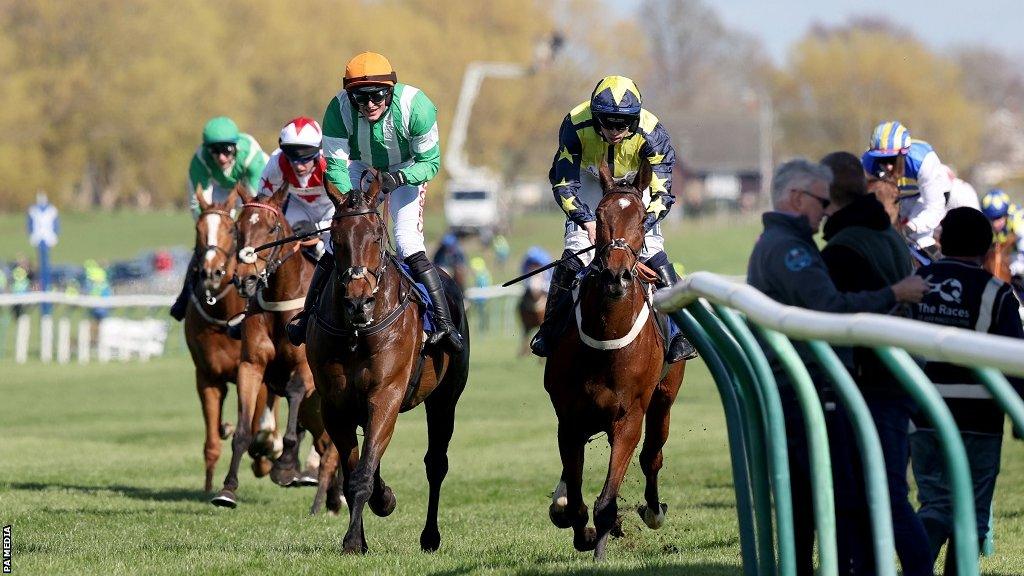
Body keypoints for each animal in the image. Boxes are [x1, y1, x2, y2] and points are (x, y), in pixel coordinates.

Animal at [184, 182, 280, 487]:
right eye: (198, 229)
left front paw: (265, 453)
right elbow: (212, 442)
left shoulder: (255, 370)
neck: (223, 316)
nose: (212, 272)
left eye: (230, 230)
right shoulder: (207, 377)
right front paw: (208, 487)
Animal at [210, 181, 339, 508]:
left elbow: (293, 395)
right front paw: (227, 489)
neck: (282, 298)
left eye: (271, 229)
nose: (245, 280)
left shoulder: (305, 370)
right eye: (238, 229)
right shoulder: (251, 365)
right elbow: (243, 430)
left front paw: (286, 466)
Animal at [305, 174, 468, 553]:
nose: (358, 303)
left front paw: (354, 538)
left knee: (436, 463)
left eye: (377, 236)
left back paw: (430, 536)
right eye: (335, 239)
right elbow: (355, 469)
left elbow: (363, 473)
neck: (356, 333)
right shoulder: (335, 404)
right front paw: (366, 525)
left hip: (445, 399)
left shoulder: (386, 395)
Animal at [544, 158, 688, 557]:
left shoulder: (629, 417)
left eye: (640, 218)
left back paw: (653, 510)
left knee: (652, 456)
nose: (616, 276)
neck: (605, 341)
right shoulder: (570, 418)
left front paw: (601, 544)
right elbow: (575, 502)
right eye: (600, 215)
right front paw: (582, 530)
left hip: (664, 399)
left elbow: (606, 501)